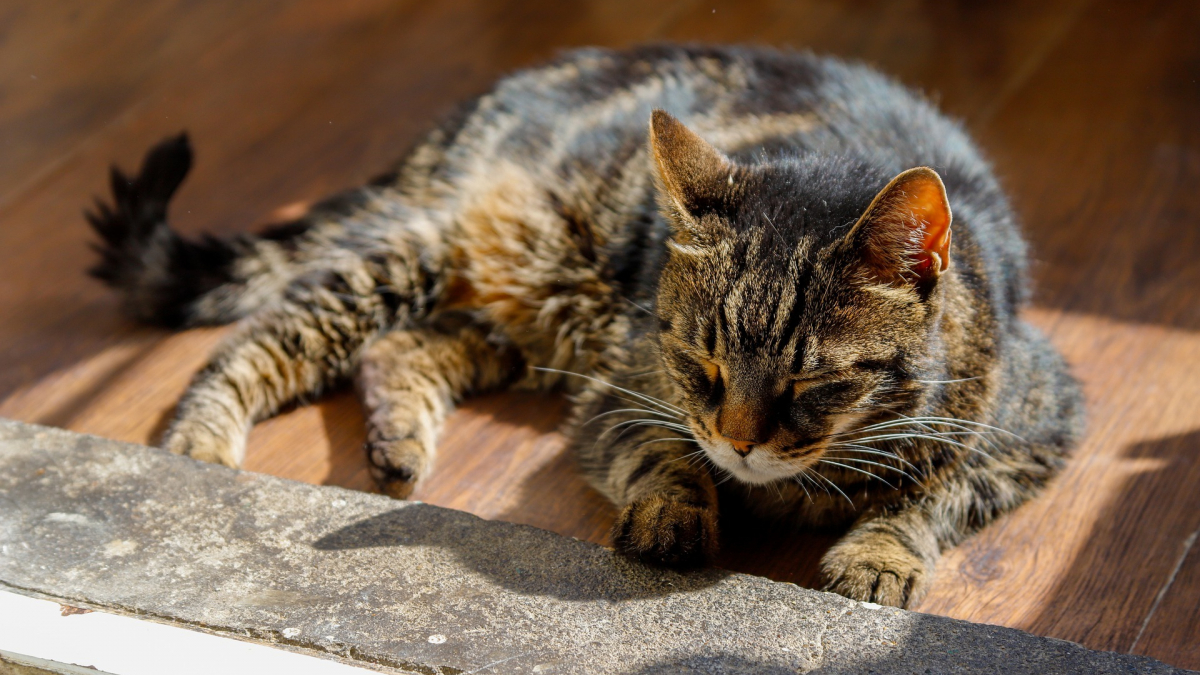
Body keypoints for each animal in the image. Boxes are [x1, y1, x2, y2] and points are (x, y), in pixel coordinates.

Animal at [84, 44, 1080, 607]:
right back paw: (199, 449)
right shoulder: (624, 389)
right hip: (418, 254)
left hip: (520, 322)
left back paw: (398, 445)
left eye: (812, 382)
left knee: (400, 347)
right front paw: (677, 508)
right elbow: (662, 453)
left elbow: (932, 493)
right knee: (256, 342)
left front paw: (878, 552)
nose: (740, 441)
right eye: (701, 362)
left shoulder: (1039, 425)